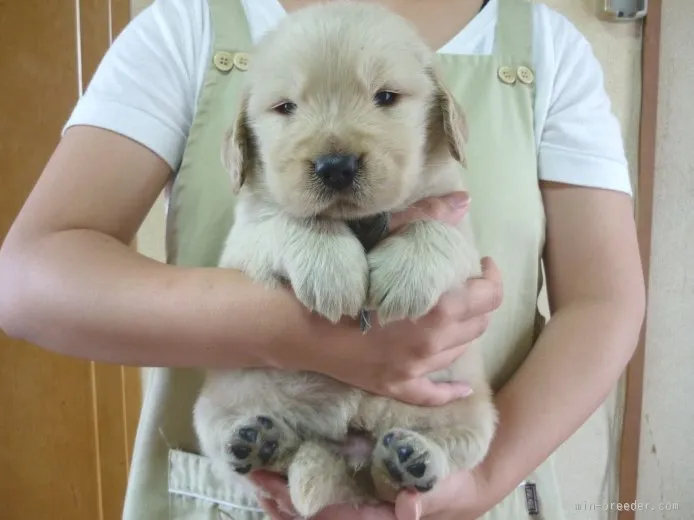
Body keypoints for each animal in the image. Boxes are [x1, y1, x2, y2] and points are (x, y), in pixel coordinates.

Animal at [193, 2, 498, 516]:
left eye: (386, 97)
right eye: (285, 107)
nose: (335, 167)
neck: (360, 222)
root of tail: (349, 449)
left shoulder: (459, 221)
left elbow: (435, 229)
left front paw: (406, 274)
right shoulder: (243, 239)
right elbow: (290, 219)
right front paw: (332, 268)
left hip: (472, 414)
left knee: (424, 464)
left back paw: (408, 459)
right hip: (216, 406)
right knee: (258, 453)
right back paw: (261, 442)